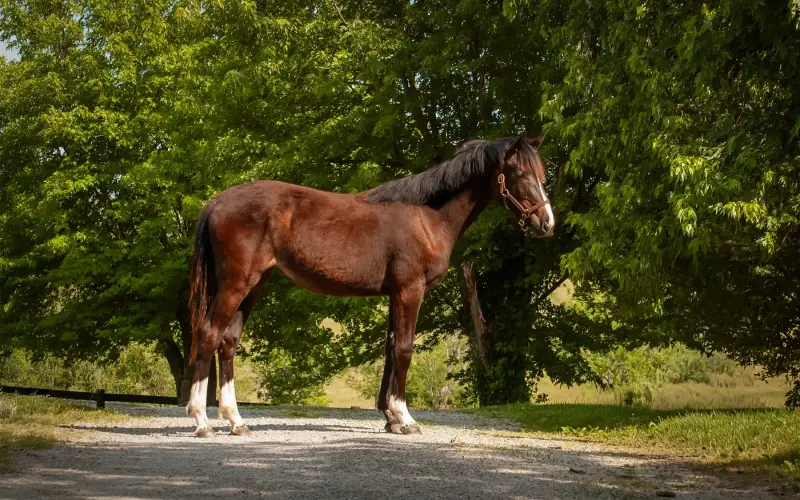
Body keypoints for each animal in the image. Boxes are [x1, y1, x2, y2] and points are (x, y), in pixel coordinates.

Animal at [186, 132, 554, 437]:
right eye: (520, 174)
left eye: (542, 174)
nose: (546, 223)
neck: (426, 216)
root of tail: (216, 202)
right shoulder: (410, 291)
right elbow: (404, 350)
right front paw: (405, 419)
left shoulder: (395, 294)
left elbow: (391, 349)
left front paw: (391, 418)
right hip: (236, 284)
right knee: (208, 334)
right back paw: (202, 421)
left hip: (254, 285)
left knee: (228, 342)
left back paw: (236, 421)